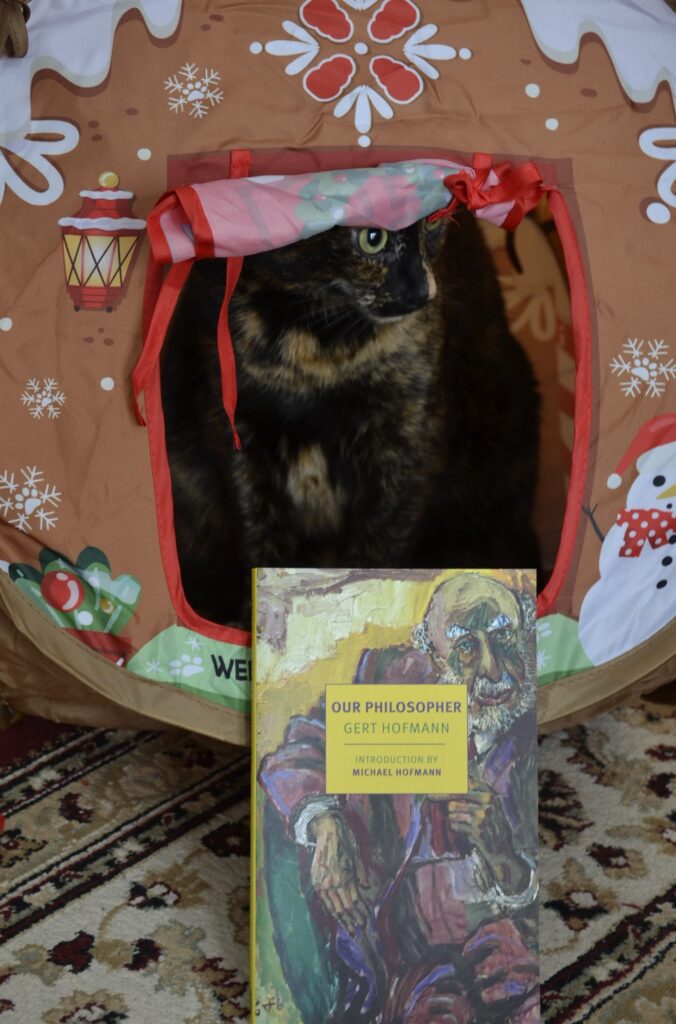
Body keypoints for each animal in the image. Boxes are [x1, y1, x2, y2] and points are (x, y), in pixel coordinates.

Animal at [159, 209, 536, 622]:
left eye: (433, 224)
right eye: (372, 238)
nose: (424, 293)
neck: (315, 341)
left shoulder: (406, 438)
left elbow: (380, 546)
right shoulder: (236, 431)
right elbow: (258, 535)